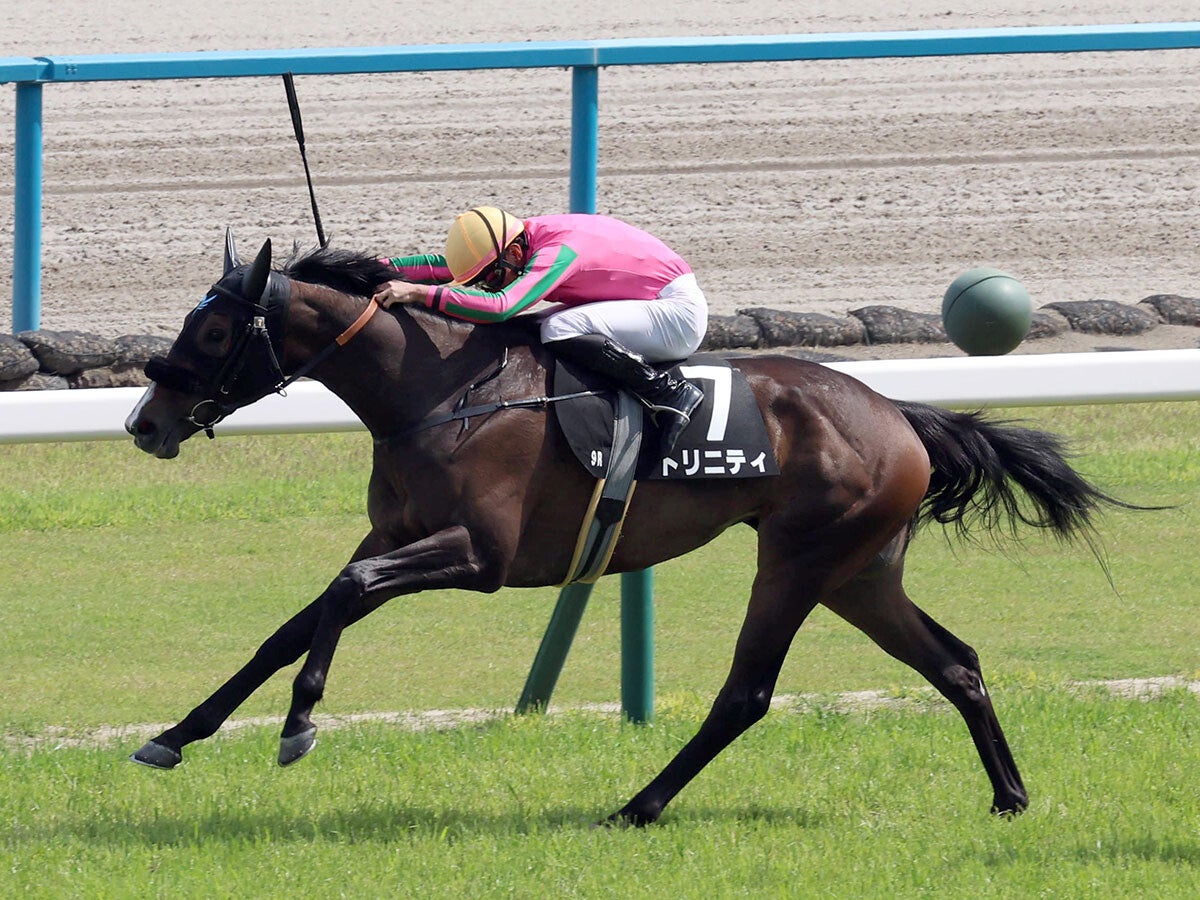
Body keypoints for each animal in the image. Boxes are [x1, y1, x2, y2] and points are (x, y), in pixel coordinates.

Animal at [124, 230, 1135, 825]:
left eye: (212, 335)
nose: (144, 423)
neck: (437, 391)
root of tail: (899, 412)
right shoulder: (392, 536)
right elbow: (294, 622)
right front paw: (177, 733)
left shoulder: (480, 556)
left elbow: (340, 597)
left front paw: (299, 723)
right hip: (859, 572)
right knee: (955, 663)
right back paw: (1009, 796)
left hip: (799, 562)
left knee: (746, 695)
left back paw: (638, 806)